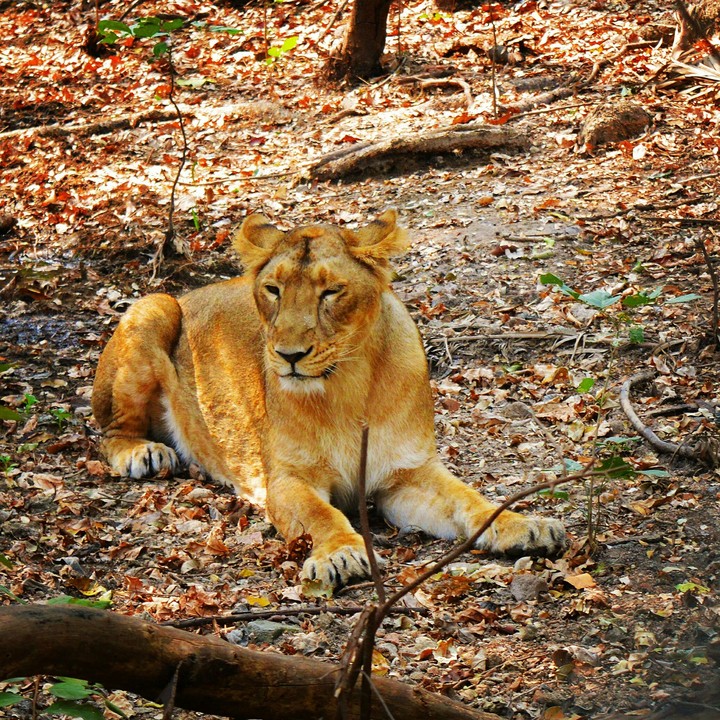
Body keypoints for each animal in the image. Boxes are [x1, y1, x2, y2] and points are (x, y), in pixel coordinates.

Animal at [92, 211, 566, 589]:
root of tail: (188, 292)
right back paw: (144, 453)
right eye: (273, 289)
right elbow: (322, 516)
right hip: (155, 306)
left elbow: (471, 500)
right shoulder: (286, 480)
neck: (346, 389)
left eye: (331, 291)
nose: (289, 355)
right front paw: (340, 554)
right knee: (109, 432)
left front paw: (524, 526)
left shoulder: (406, 475)